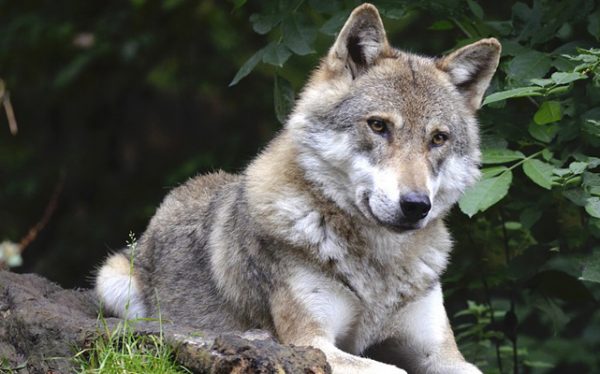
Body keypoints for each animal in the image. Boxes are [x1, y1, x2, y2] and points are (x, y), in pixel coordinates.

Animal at [94, 3, 500, 374]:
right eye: (378, 126)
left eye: (438, 138)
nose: (416, 205)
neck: (378, 267)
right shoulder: (311, 342)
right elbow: (392, 370)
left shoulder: (442, 354)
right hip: (113, 283)